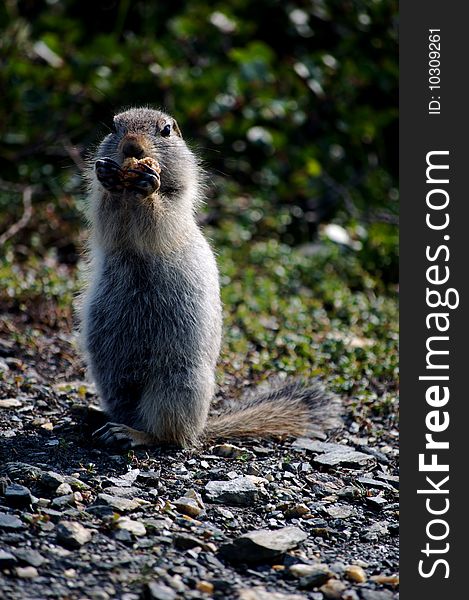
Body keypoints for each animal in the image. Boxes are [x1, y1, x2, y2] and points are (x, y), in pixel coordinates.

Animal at [77, 108, 340, 448]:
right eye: (113, 126)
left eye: (165, 130)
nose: (132, 147)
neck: (128, 196)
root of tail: (203, 428)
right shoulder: (108, 217)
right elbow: (105, 216)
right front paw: (107, 176)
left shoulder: (175, 209)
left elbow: (159, 219)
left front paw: (148, 183)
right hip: (109, 374)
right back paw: (99, 415)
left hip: (176, 383)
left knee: (170, 436)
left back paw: (131, 433)